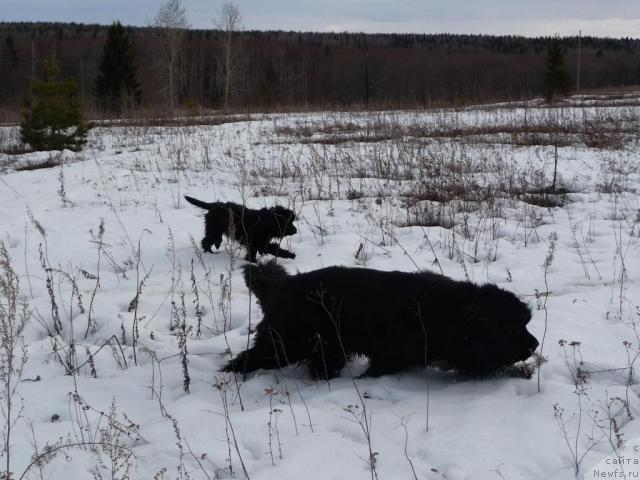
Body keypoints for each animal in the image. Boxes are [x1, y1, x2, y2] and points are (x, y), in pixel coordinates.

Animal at [222, 262, 536, 378]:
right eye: (515, 328)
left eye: (526, 323)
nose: (534, 344)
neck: (452, 313)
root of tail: (282, 286)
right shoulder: (389, 357)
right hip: (283, 344)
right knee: (249, 358)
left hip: (328, 348)